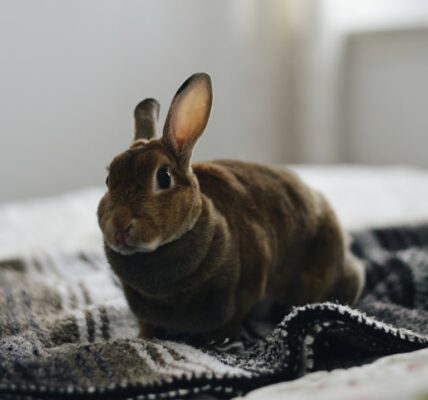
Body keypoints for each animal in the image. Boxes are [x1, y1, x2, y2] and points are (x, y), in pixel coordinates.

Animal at [98, 72, 364, 340]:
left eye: (163, 177)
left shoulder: (248, 282)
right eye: (108, 180)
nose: (120, 223)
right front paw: (144, 337)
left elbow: (233, 317)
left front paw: (215, 341)